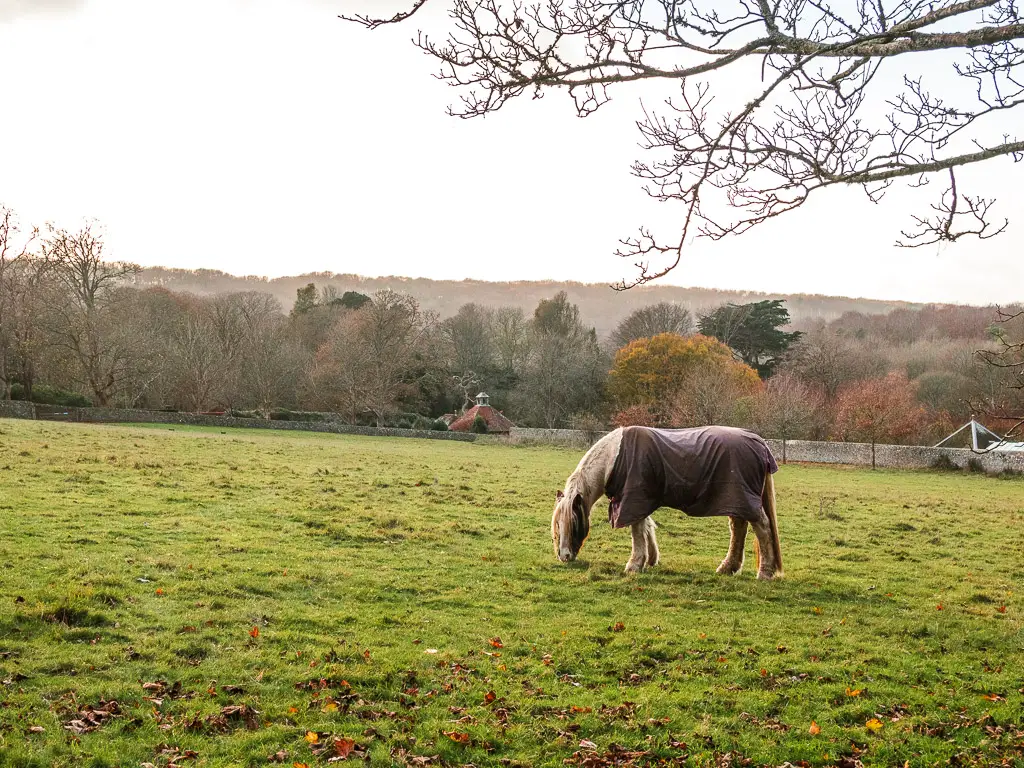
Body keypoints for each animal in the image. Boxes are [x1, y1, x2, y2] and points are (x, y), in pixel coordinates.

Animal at [552, 423, 782, 581]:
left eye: (573, 523)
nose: (564, 556)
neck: (614, 458)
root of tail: (760, 443)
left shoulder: (633, 499)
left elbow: (637, 531)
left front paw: (634, 564)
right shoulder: (640, 500)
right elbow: (646, 527)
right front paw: (650, 559)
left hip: (745, 501)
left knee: (762, 527)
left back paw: (765, 572)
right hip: (736, 500)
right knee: (738, 528)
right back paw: (728, 568)